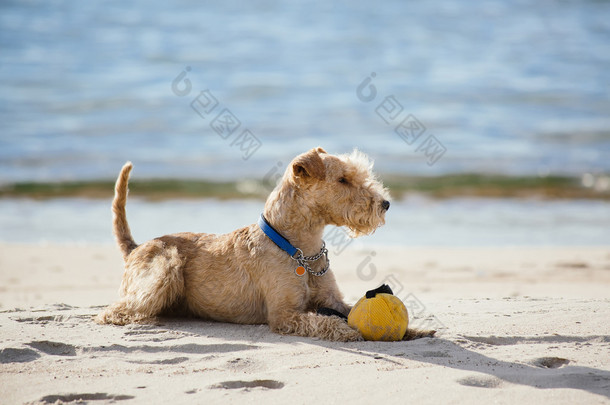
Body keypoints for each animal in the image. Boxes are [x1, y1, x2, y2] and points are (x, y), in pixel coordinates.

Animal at [95, 147, 432, 340]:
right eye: (343, 180)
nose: (385, 204)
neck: (300, 249)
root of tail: (134, 248)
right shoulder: (283, 314)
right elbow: (325, 323)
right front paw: (347, 331)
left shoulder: (332, 300)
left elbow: (349, 310)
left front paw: (414, 329)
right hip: (167, 266)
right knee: (114, 311)